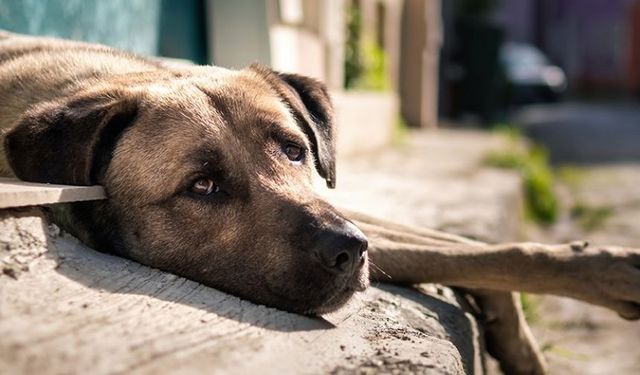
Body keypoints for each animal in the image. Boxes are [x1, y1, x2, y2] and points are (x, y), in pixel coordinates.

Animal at [3, 32, 640, 375]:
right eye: (202, 186)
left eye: (294, 150)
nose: (349, 250)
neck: (94, 80)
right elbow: (459, 251)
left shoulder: (344, 206)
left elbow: (468, 246)